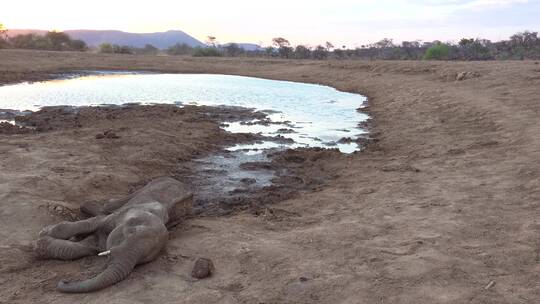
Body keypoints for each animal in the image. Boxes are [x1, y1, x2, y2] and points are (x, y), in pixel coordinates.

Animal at [34, 177, 192, 294]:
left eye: (144, 259)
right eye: (130, 234)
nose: (66, 280)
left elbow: (89, 246)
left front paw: (41, 247)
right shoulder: (121, 215)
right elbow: (95, 223)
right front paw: (44, 234)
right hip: (151, 185)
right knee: (108, 206)